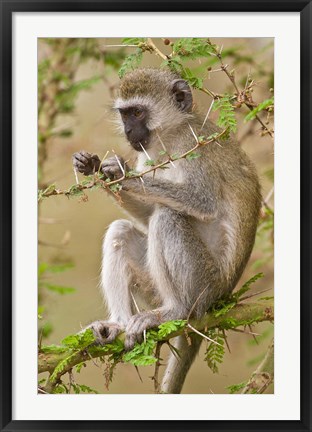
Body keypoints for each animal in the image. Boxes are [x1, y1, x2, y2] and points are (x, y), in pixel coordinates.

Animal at [72, 66, 260, 392]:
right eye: (125, 114)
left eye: (137, 112)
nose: (129, 132)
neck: (170, 135)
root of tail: (221, 298)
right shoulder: (148, 154)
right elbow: (145, 216)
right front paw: (99, 168)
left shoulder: (191, 145)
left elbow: (201, 201)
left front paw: (120, 172)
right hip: (154, 289)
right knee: (121, 231)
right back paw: (117, 324)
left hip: (204, 287)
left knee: (167, 217)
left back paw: (176, 311)